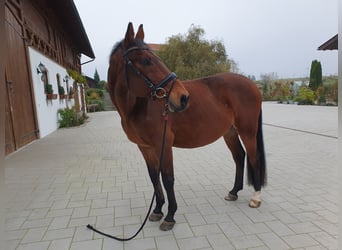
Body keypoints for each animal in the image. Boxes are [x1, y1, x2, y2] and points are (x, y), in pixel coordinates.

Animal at [108, 23, 266, 230]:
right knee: (239, 156)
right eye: (146, 61)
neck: (140, 107)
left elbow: (167, 178)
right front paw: (157, 210)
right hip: (229, 132)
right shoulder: (145, 148)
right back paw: (233, 192)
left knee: (254, 158)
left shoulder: (164, 145)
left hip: (247, 131)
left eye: (155, 58)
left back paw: (256, 198)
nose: (183, 98)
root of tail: (252, 84)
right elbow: (154, 177)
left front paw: (170, 216)